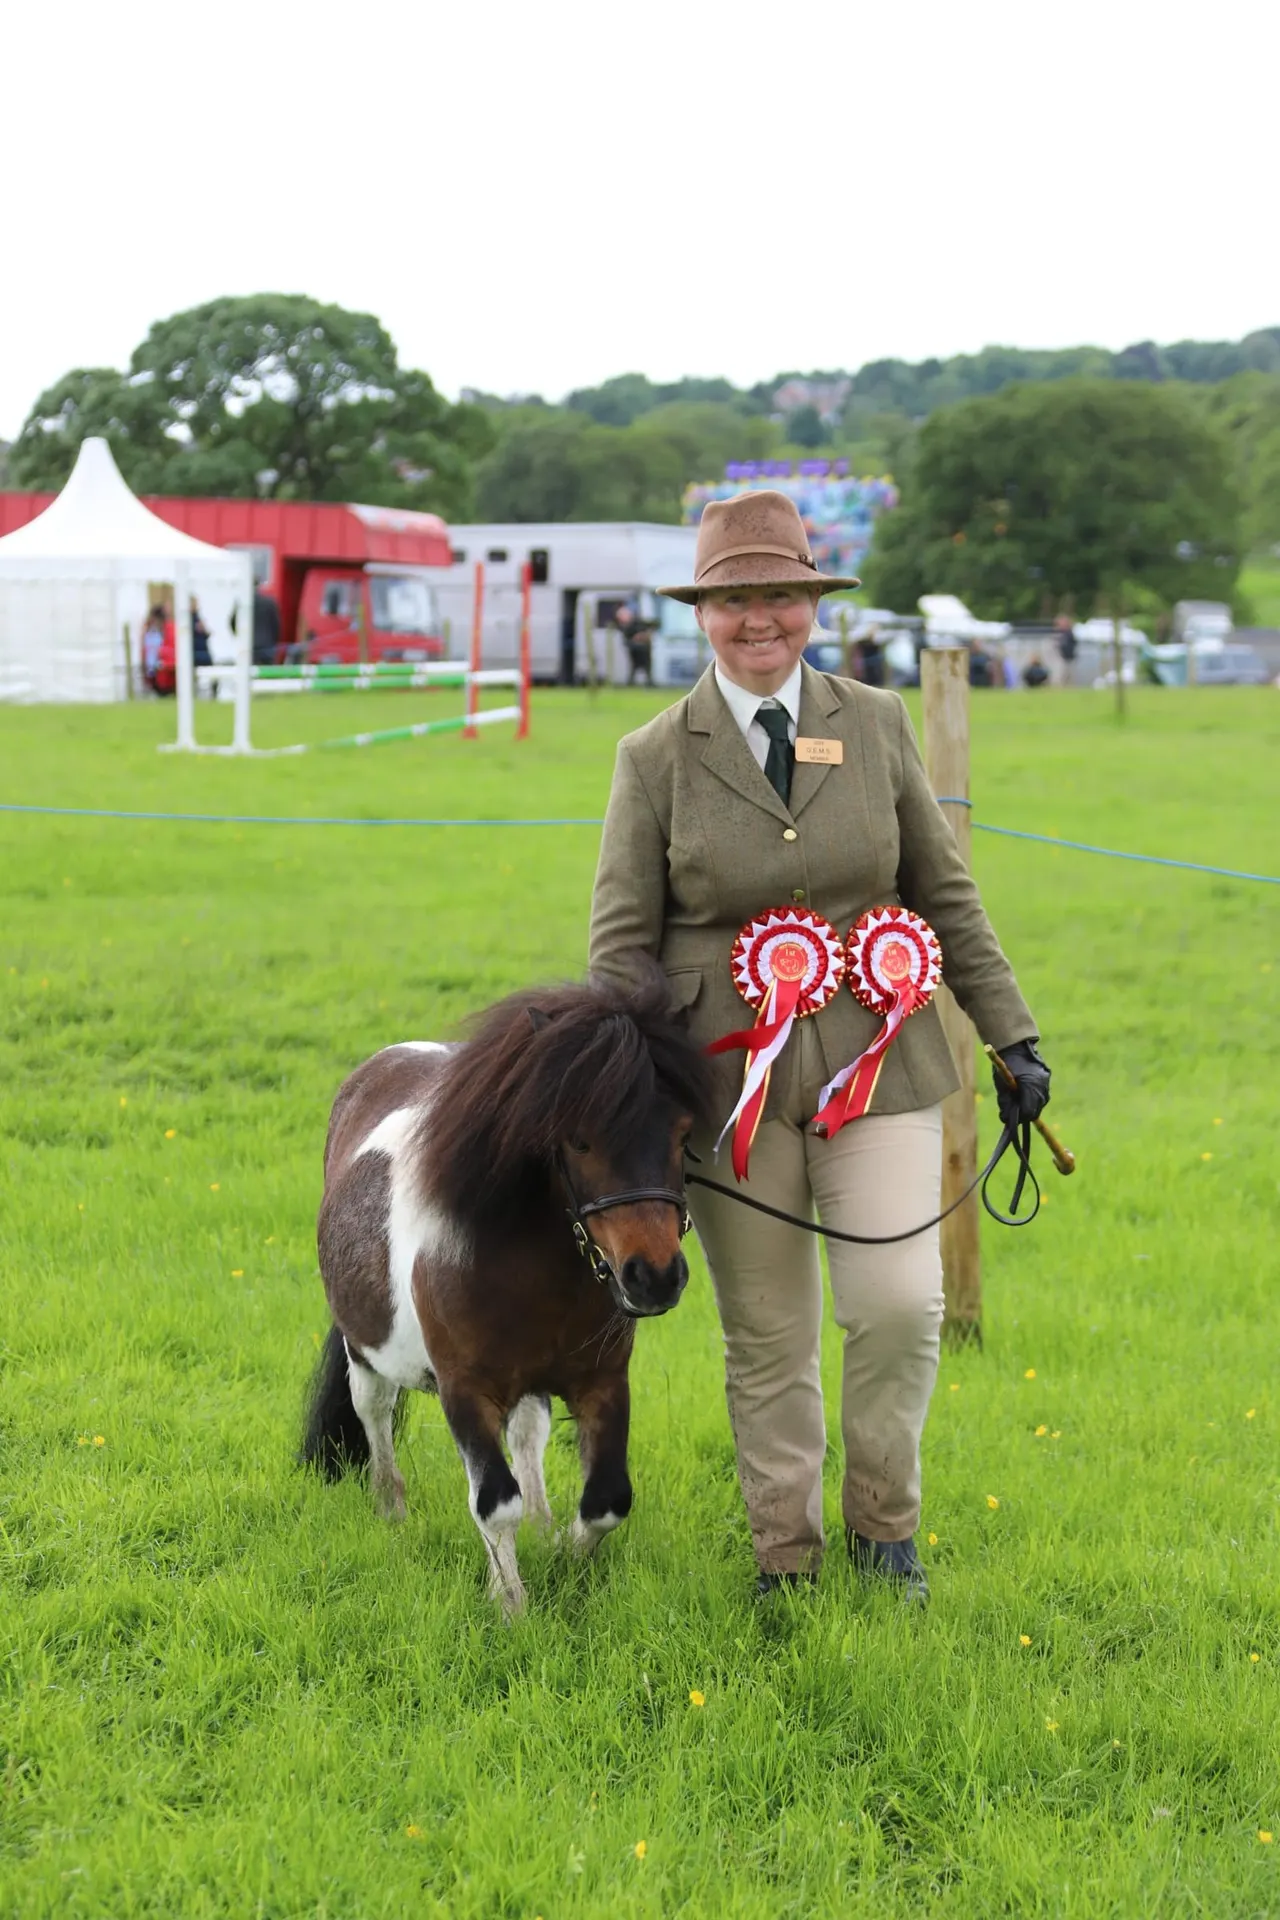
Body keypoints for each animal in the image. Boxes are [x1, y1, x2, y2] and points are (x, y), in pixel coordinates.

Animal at [300, 971, 713, 1614]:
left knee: (528, 1432)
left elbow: (607, 1501)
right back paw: (391, 1509)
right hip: (362, 1347)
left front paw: (564, 1558)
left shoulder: (602, 1382)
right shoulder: (464, 1392)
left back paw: (541, 1524)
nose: (655, 1277)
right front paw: (510, 1604)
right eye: (579, 1141)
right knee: (374, 1409)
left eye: (682, 1133)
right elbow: (494, 1502)